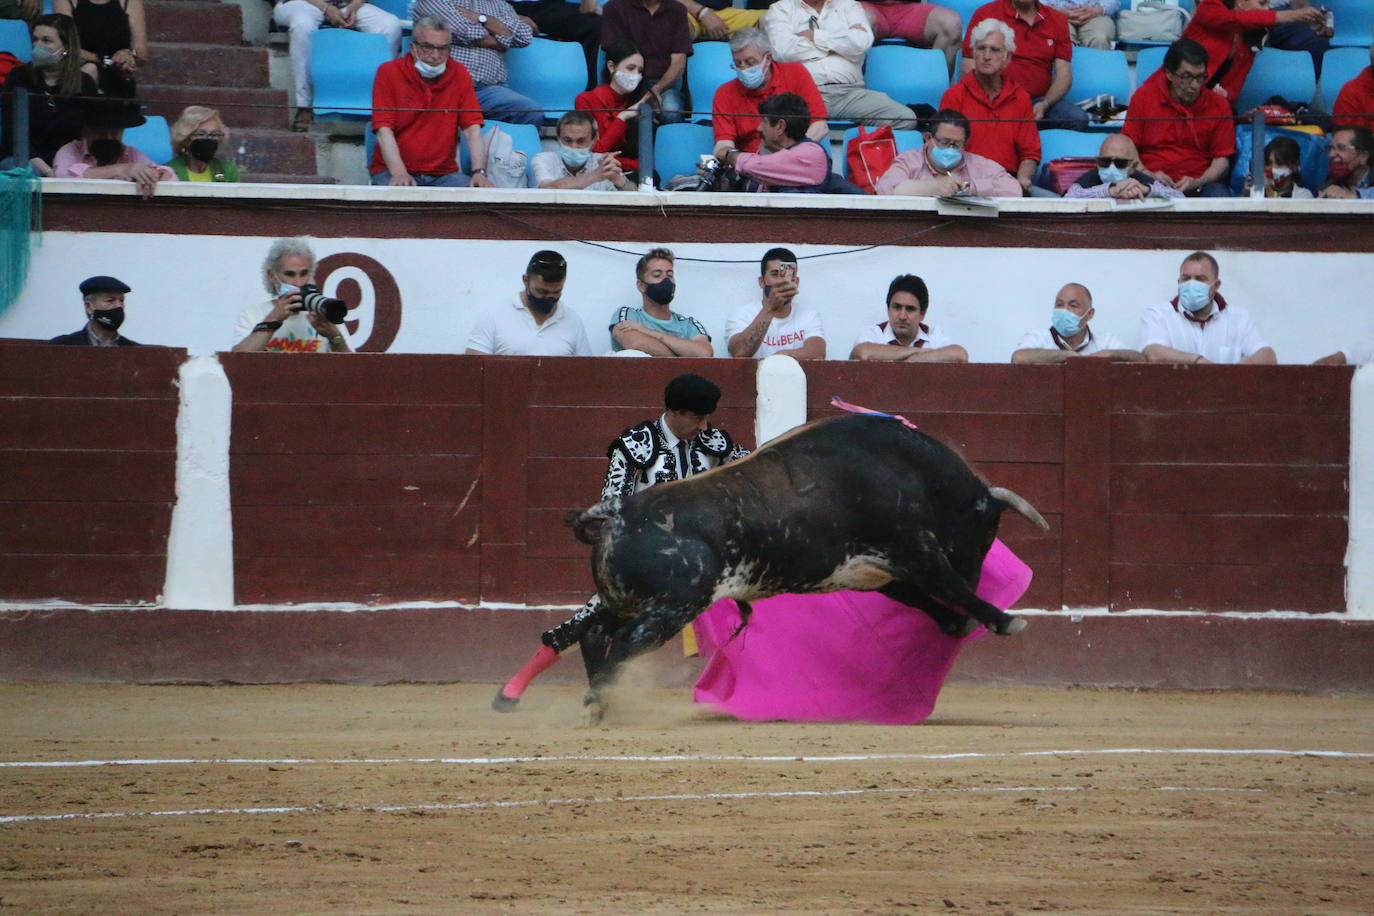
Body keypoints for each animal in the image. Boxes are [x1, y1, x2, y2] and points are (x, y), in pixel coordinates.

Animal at [552, 411, 1044, 719]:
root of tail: (616, 512)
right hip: (673, 607)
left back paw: (600, 705)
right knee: (624, 646)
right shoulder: (916, 548)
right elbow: (947, 587)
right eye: (986, 529)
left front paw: (958, 624)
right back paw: (598, 704)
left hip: (627, 600)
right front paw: (1004, 620)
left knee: (595, 636)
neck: (914, 472)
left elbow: (923, 600)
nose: (978, 576)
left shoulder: (875, 571)